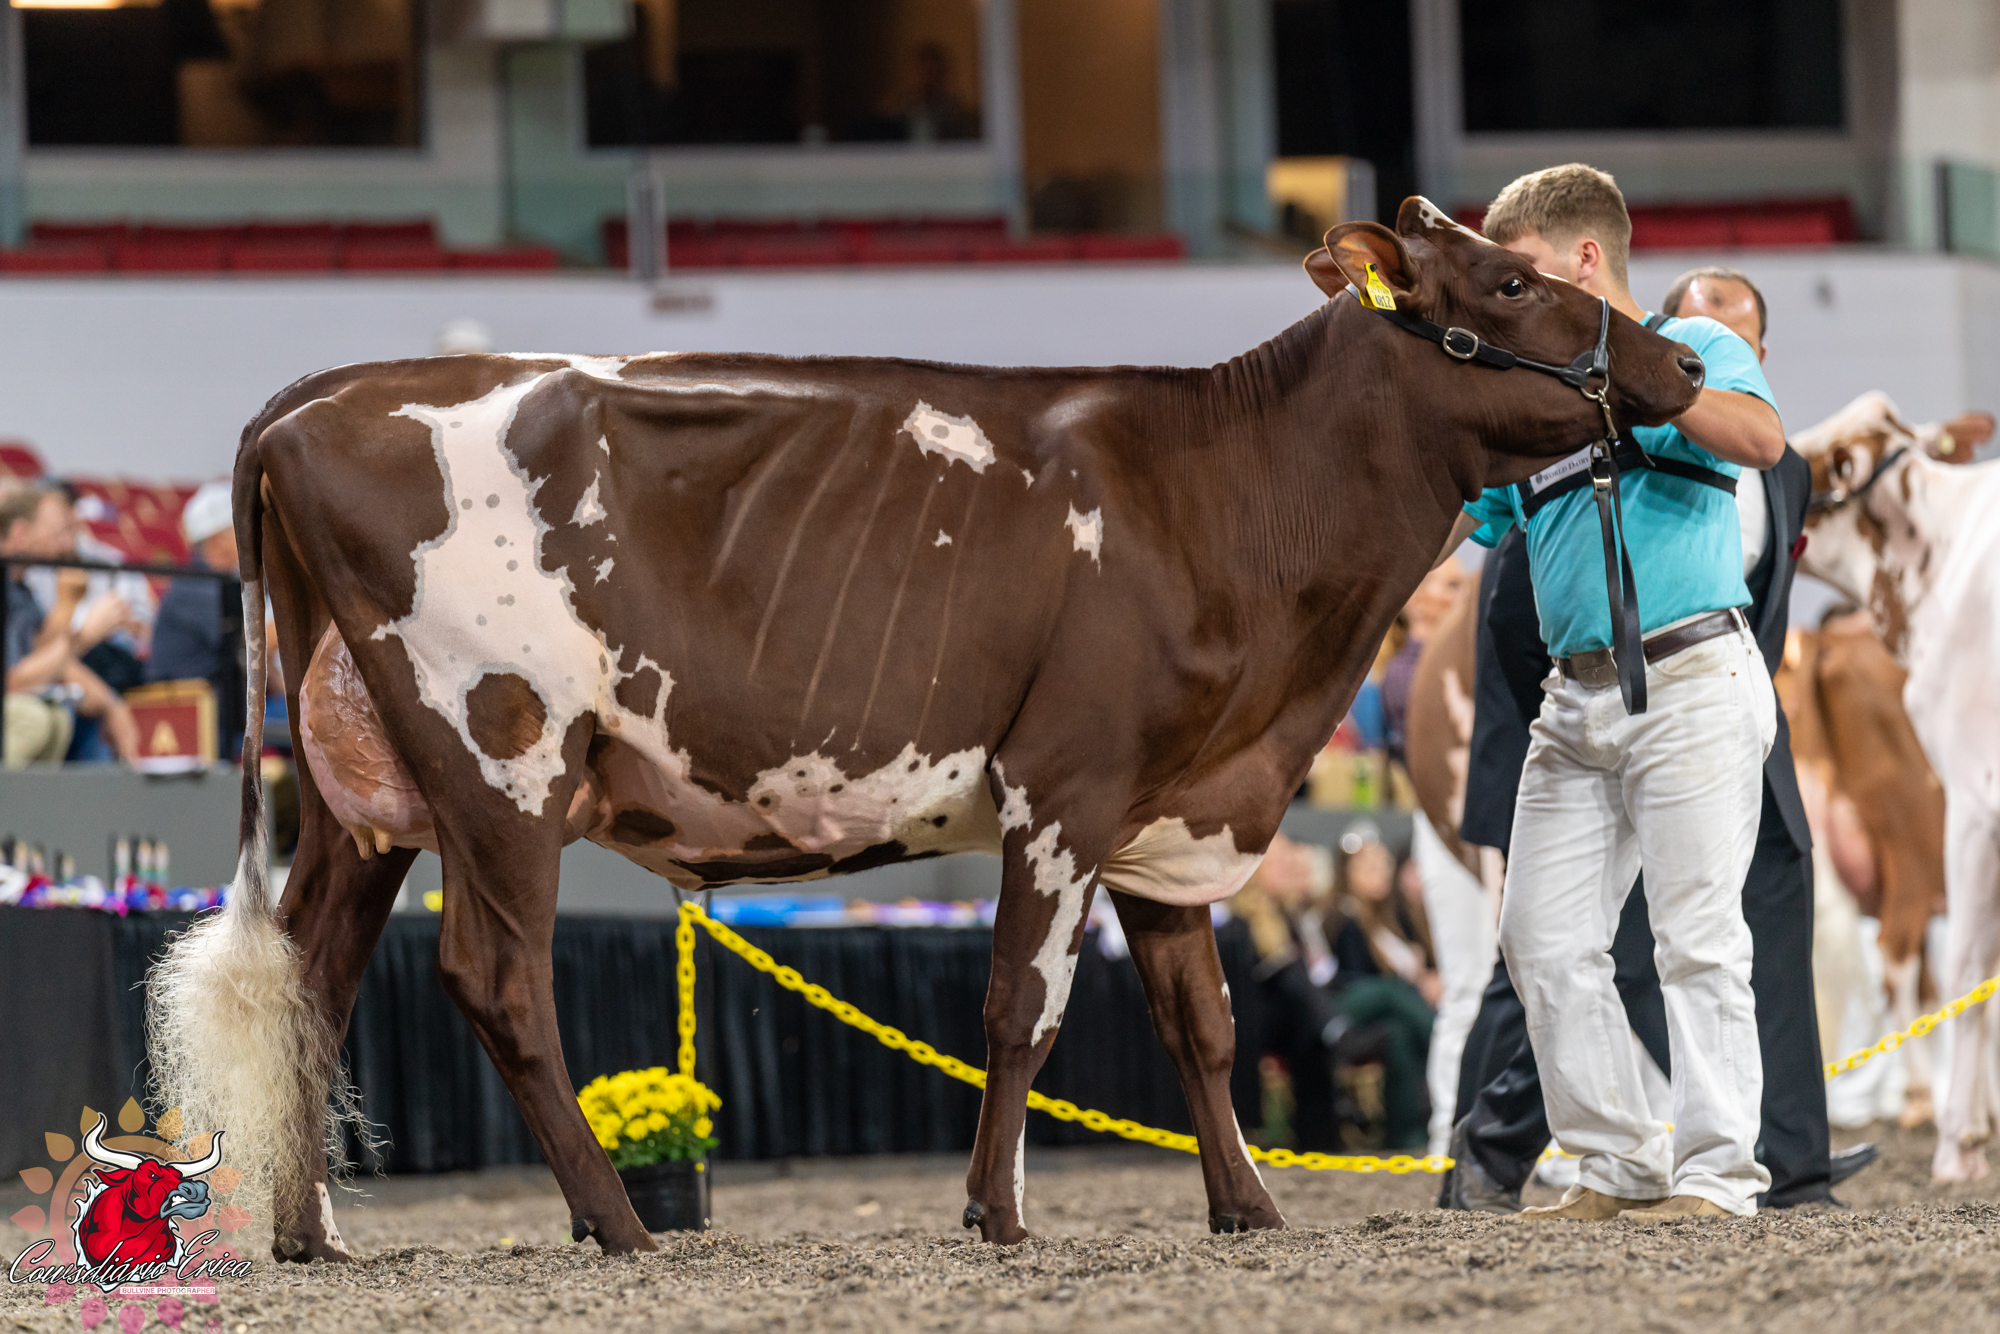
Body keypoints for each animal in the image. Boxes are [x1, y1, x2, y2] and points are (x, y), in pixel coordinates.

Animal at [144, 197, 1705, 1260]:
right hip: (500, 756)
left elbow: (1200, 1021)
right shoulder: (1066, 780)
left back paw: (312, 1233)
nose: (1682, 373)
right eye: (1511, 282)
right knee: (494, 976)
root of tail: (327, 393)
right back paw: (619, 1224)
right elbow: (1023, 1005)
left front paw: (1248, 1207)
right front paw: (994, 1215)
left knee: (316, 970)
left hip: (367, 792)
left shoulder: (1171, 801)